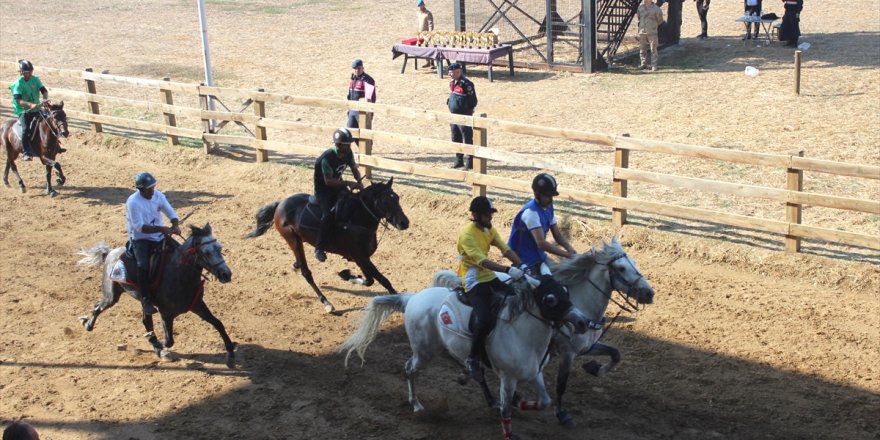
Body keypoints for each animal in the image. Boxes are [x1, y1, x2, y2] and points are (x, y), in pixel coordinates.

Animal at [78, 223, 235, 368]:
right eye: (207, 252)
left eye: (219, 248)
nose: (226, 274)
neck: (178, 274)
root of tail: (110, 252)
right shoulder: (165, 313)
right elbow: (169, 341)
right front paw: (159, 346)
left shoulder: (197, 305)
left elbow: (218, 323)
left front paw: (230, 355)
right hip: (111, 296)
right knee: (98, 306)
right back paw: (87, 324)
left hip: (139, 301)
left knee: (143, 320)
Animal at [246, 177, 410, 314]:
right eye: (384, 201)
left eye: (397, 197)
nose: (404, 222)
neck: (357, 219)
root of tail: (280, 203)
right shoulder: (361, 257)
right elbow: (383, 280)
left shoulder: (361, 258)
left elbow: (369, 280)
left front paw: (346, 275)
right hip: (292, 239)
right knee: (306, 273)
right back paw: (327, 303)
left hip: (299, 239)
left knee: (299, 263)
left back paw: (296, 265)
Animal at [336, 274, 592, 438]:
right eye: (550, 299)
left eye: (567, 292)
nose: (582, 322)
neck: (522, 333)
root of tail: (412, 298)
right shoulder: (507, 378)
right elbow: (506, 411)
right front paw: (509, 424)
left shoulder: (534, 373)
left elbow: (544, 401)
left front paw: (521, 402)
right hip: (424, 352)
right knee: (409, 369)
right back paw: (417, 404)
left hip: (442, 348)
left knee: (466, 368)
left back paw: (466, 376)